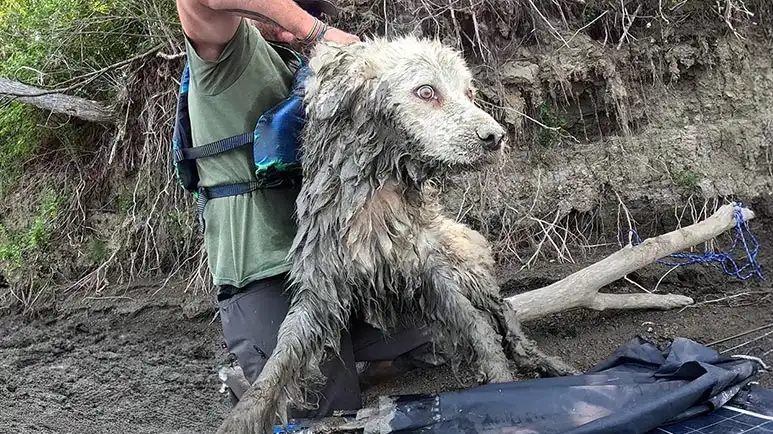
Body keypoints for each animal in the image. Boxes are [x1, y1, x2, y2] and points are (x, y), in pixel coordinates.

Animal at [214, 34, 576, 434]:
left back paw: (546, 362)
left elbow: (479, 328)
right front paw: (242, 416)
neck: (374, 201)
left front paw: (501, 386)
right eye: (426, 91)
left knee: (504, 312)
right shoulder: (320, 288)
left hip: (465, 261)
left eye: (469, 93)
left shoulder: (429, 266)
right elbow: (275, 367)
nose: (495, 137)